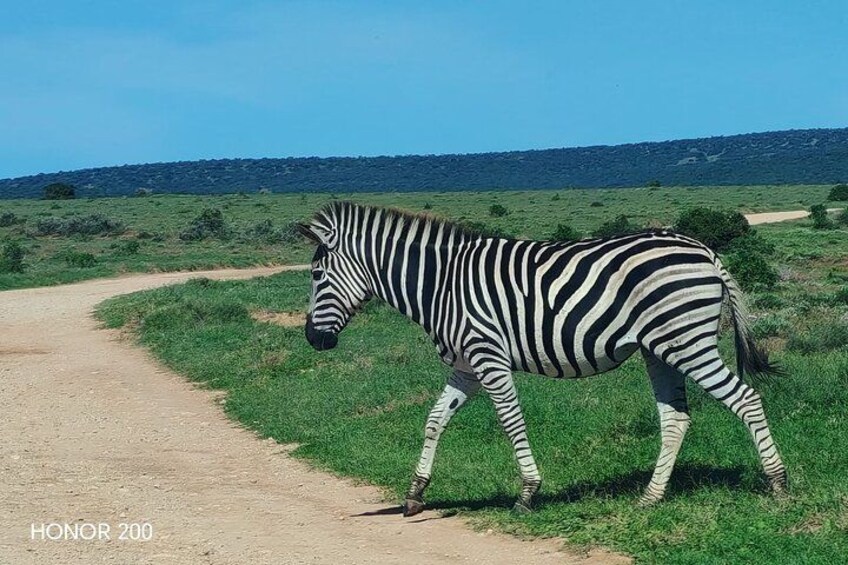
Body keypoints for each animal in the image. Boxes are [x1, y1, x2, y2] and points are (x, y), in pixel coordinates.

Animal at [298, 201, 787, 516]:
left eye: (317, 275)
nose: (312, 339)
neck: (441, 285)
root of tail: (705, 250)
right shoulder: (466, 365)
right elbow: (435, 419)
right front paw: (415, 493)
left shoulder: (488, 355)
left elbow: (511, 422)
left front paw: (528, 493)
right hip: (661, 349)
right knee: (676, 418)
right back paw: (650, 497)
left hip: (688, 342)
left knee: (746, 399)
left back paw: (778, 484)